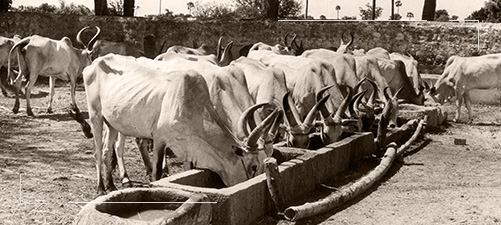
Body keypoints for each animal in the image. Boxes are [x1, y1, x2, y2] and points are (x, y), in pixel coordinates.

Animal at [83, 54, 278, 193]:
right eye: (253, 166)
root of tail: (94, 63)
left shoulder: (188, 147)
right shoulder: (160, 139)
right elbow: (157, 173)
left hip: (112, 123)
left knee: (108, 151)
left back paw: (111, 186)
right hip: (96, 116)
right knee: (98, 152)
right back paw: (101, 188)